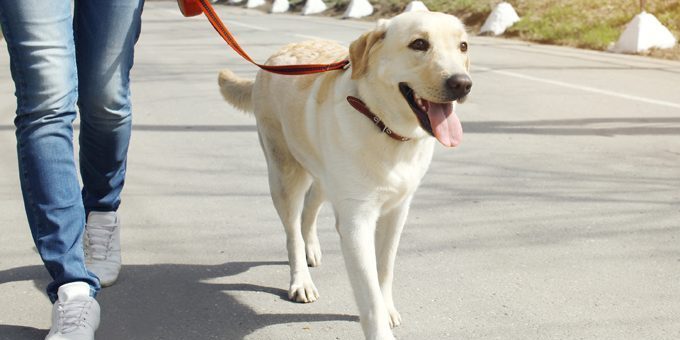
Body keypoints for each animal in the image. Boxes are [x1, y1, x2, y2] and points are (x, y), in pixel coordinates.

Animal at [219, 10, 472, 340]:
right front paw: (380, 327)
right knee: (292, 231)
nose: (462, 84)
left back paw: (312, 248)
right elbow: (369, 293)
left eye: (463, 46)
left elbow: (385, 268)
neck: (383, 126)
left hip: (324, 176)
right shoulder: (356, 222)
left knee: (309, 210)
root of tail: (274, 58)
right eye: (419, 44)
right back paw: (301, 280)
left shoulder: (397, 212)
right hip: (284, 175)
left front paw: (388, 307)